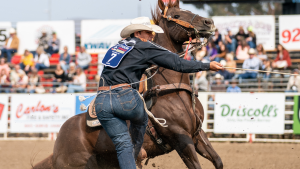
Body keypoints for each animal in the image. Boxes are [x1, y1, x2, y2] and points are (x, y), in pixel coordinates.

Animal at [33, 0, 223, 168]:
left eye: (188, 10)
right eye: (176, 15)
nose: (209, 22)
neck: (170, 90)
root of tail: (57, 147)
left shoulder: (198, 134)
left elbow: (218, 161)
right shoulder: (180, 137)